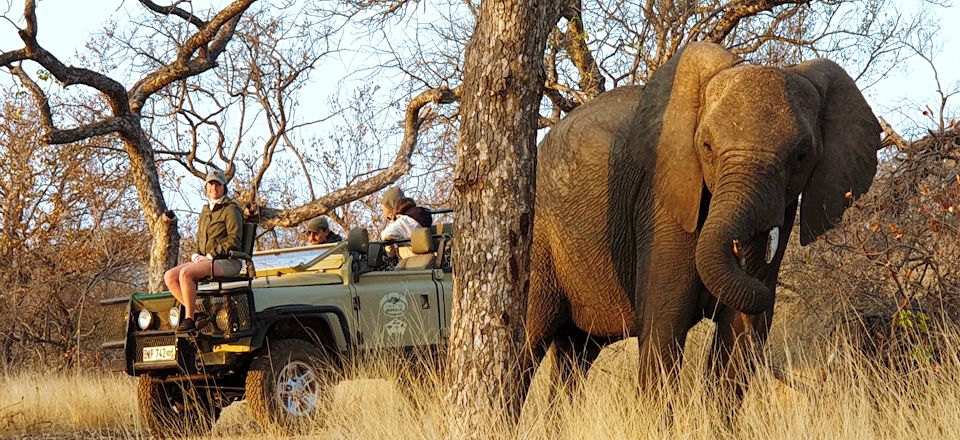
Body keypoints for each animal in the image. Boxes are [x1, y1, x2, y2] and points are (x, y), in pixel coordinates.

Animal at [520, 42, 880, 398]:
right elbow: (665, 319)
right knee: (529, 340)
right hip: (539, 241)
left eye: (802, 157)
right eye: (706, 146)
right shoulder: (661, 205)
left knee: (576, 352)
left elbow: (739, 335)